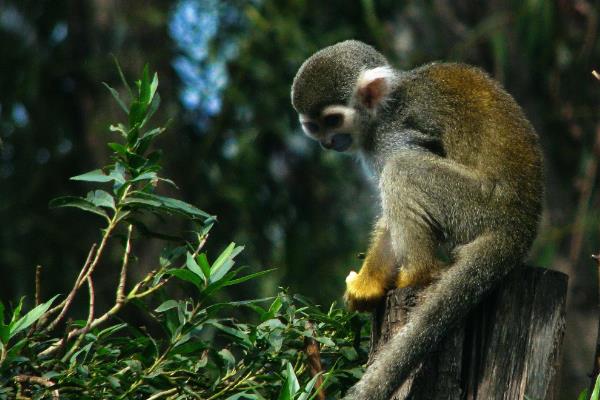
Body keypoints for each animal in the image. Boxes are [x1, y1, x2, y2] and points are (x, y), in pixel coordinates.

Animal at [290, 41, 544, 400]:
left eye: (333, 120)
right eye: (313, 127)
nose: (327, 142)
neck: (383, 110)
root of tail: (521, 225)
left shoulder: (393, 136)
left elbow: (398, 177)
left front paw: (368, 283)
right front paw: (368, 286)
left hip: (478, 206)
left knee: (403, 169)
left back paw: (418, 273)